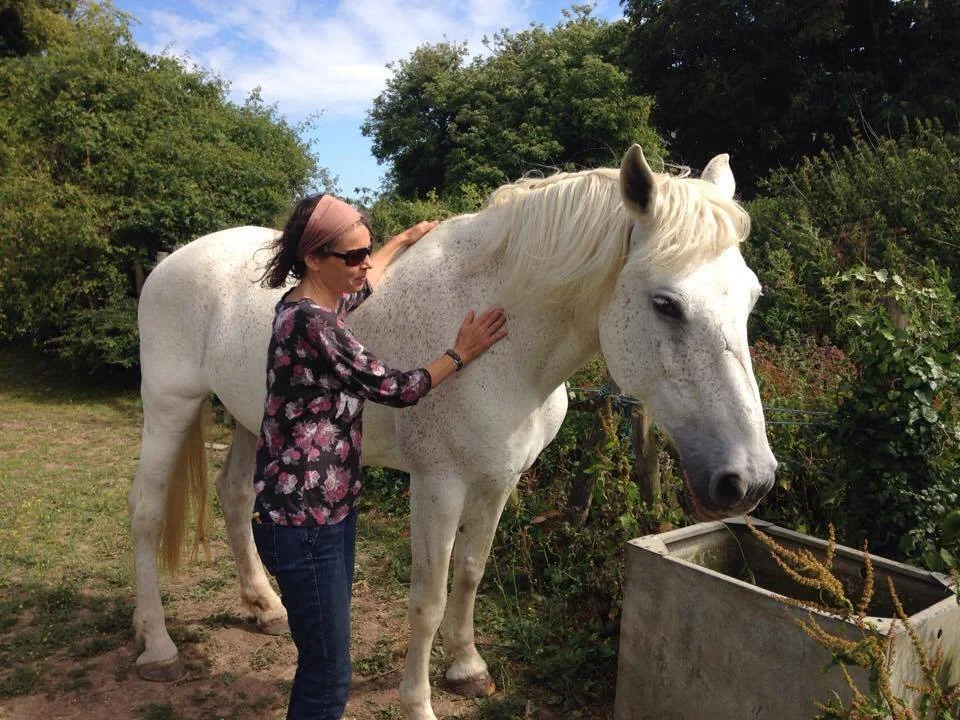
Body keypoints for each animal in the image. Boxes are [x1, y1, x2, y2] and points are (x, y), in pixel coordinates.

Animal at [129, 145, 777, 720]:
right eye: (666, 304)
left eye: (751, 297)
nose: (749, 480)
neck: (507, 347)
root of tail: (171, 261)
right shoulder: (438, 486)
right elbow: (428, 598)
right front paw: (418, 703)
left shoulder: (497, 479)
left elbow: (469, 573)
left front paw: (467, 669)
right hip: (169, 406)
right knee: (147, 512)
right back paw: (157, 647)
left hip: (250, 419)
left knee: (236, 497)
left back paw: (265, 607)